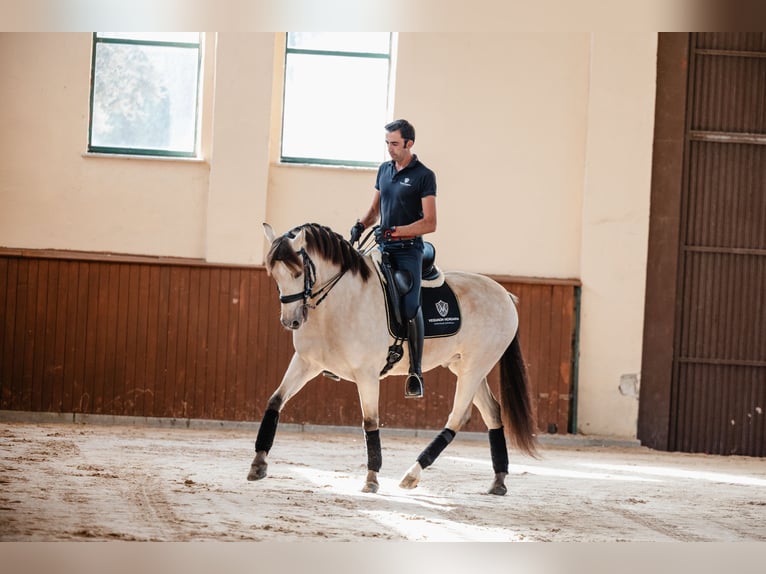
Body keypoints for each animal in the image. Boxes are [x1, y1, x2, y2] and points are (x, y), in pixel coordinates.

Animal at [249, 223, 536, 498]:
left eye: (298, 273)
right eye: (274, 276)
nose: (291, 321)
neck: (339, 302)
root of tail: (505, 295)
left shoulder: (366, 374)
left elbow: (370, 422)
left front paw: (372, 479)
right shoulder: (306, 363)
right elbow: (275, 401)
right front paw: (258, 463)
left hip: (474, 368)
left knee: (458, 416)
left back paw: (412, 474)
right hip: (464, 366)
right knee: (492, 413)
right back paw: (498, 481)